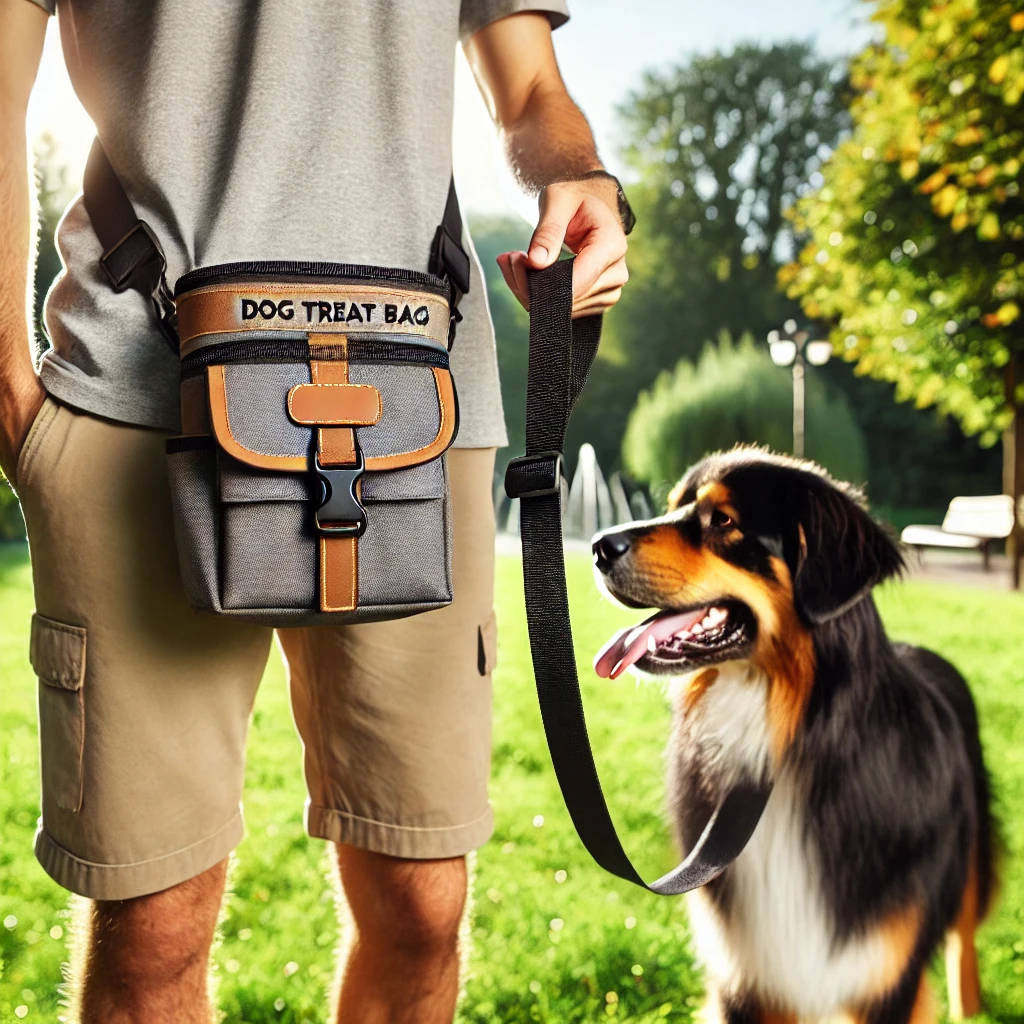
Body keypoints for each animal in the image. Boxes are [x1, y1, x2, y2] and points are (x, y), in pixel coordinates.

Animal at [589, 448, 995, 1024]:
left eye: (723, 521)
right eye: (672, 508)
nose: (598, 546)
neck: (792, 733)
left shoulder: (886, 974)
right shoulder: (747, 975)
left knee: (964, 935)